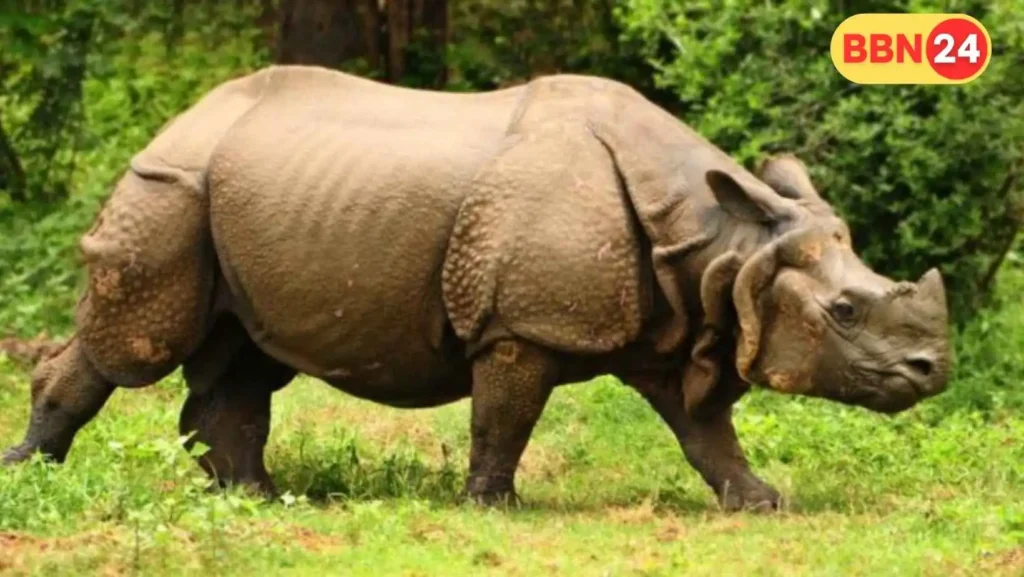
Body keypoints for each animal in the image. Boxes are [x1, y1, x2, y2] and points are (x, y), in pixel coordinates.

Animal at [2, 66, 951, 511]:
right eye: (845, 310)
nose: (933, 370)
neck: (722, 245)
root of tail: (183, 118)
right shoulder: (521, 323)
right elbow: (505, 416)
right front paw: (496, 506)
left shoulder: (679, 322)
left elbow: (706, 431)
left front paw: (763, 503)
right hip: (170, 186)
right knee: (136, 343)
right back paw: (33, 476)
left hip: (236, 196)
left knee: (244, 355)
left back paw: (256, 497)